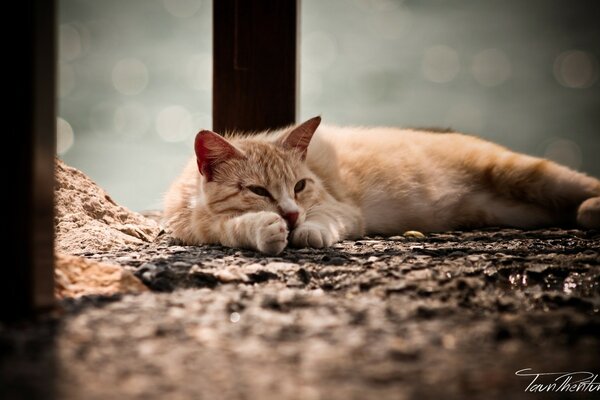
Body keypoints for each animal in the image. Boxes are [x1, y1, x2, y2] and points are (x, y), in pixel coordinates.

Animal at [164, 115, 600, 255]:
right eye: (258, 191)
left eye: (301, 185)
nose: (290, 213)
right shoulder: (199, 230)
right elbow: (232, 228)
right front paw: (262, 228)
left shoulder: (341, 210)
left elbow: (323, 220)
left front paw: (306, 231)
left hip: (526, 174)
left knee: (581, 186)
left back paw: (591, 208)